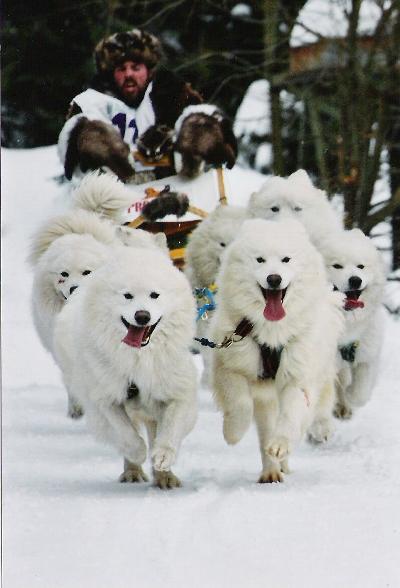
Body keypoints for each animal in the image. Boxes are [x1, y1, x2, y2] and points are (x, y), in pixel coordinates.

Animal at [53, 246, 198, 488]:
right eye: (127, 295)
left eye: (155, 295)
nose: (142, 316)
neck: (138, 358)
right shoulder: (105, 399)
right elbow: (126, 434)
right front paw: (138, 454)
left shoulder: (176, 391)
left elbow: (170, 429)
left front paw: (163, 456)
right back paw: (133, 472)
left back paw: (164, 477)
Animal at [209, 218, 344, 482]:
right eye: (260, 260)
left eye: (286, 259)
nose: (274, 279)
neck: (272, 333)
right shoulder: (230, 365)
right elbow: (240, 403)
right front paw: (233, 433)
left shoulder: (297, 377)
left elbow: (290, 416)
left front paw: (280, 445)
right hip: (265, 399)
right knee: (264, 431)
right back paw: (270, 473)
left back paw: (280, 462)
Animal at [320, 228, 386, 419]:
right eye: (337, 266)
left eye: (360, 266)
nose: (355, 280)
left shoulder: (366, 356)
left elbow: (360, 393)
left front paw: (351, 396)